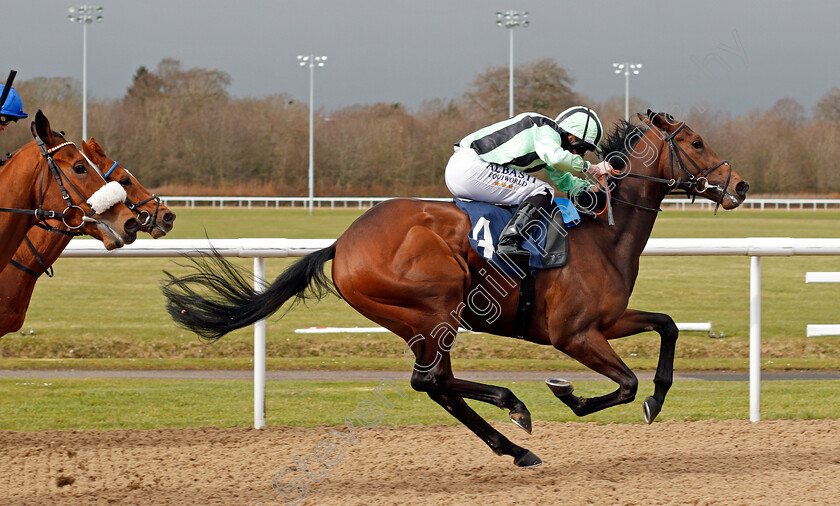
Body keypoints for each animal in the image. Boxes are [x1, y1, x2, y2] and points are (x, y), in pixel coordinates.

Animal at [162, 110, 748, 466]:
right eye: (696, 142)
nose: (740, 186)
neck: (599, 232)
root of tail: (342, 243)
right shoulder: (574, 334)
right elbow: (623, 384)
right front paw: (569, 393)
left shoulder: (605, 321)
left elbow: (667, 328)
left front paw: (656, 397)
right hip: (434, 307)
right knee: (430, 381)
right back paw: (513, 408)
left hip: (419, 322)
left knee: (437, 384)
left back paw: (513, 443)